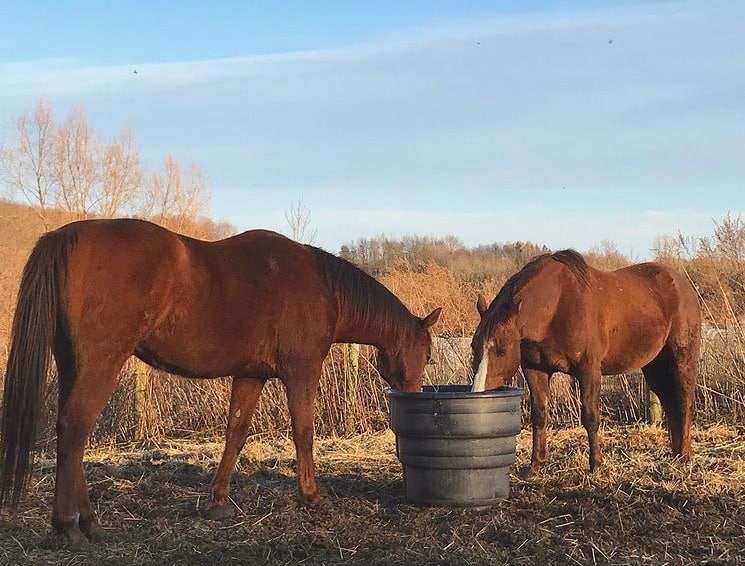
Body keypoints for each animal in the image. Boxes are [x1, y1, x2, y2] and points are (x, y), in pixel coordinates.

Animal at [0, 218, 441, 546]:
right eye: (428, 355)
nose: (412, 397)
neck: (323, 287)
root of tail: (65, 235)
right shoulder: (301, 371)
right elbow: (303, 432)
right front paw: (312, 496)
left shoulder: (251, 374)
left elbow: (236, 432)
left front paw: (219, 501)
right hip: (100, 363)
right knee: (74, 429)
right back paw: (71, 527)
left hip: (72, 365)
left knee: (70, 437)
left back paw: (84, 524)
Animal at [470, 249, 701, 476]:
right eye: (474, 346)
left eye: (502, 350)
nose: (479, 392)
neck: (557, 306)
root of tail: (684, 285)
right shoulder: (535, 370)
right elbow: (539, 415)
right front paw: (535, 466)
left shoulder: (588, 370)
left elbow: (590, 416)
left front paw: (596, 465)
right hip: (655, 368)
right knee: (671, 404)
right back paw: (676, 453)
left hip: (682, 362)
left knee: (684, 403)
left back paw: (685, 457)